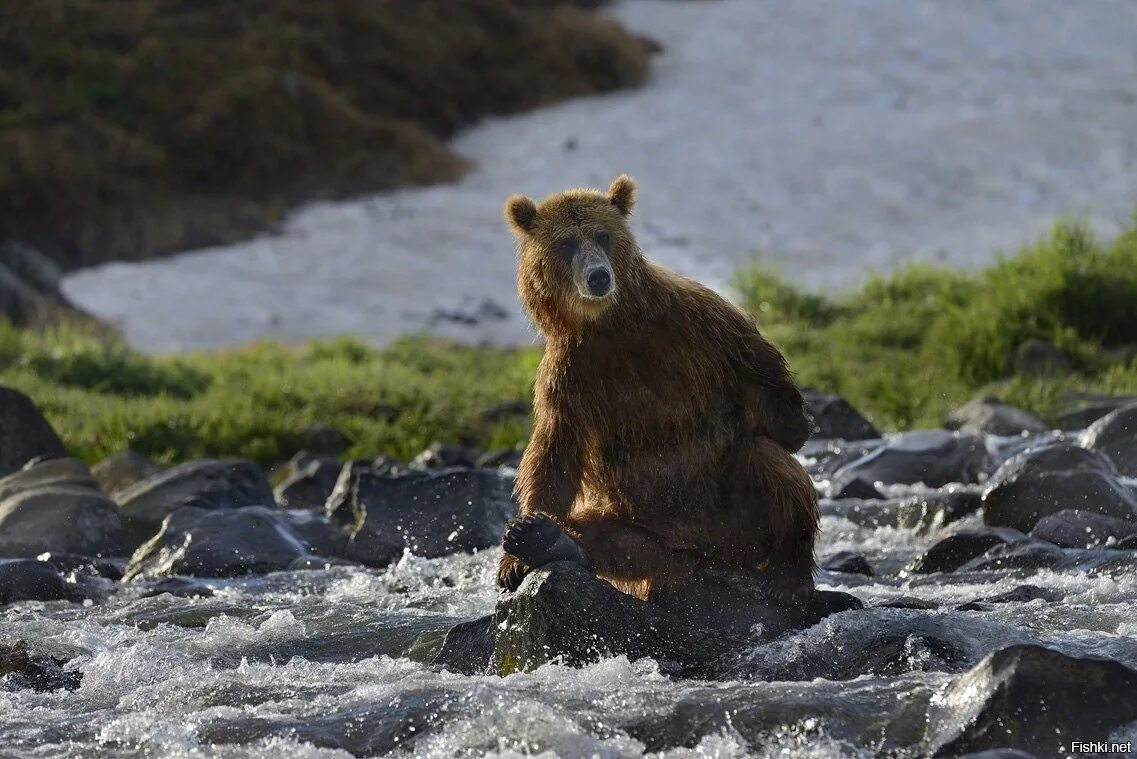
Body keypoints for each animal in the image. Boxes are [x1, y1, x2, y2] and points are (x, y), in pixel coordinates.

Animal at [500, 174, 818, 599]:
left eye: (603, 235)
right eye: (565, 243)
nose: (598, 276)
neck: (613, 326)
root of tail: (708, 556)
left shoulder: (704, 324)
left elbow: (776, 406)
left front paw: (780, 418)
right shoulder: (569, 376)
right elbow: (555, 455)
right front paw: (517, 550)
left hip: (738, 521)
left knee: (772, 466)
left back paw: (786, 574)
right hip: (651, 532)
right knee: (615, 540)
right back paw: (547, 539)